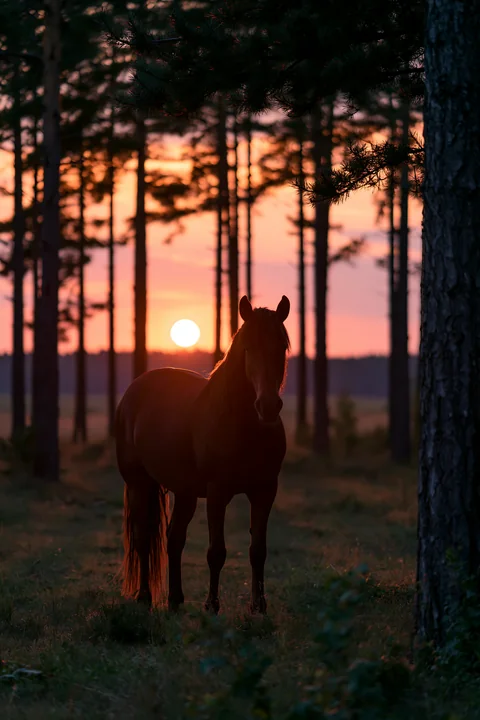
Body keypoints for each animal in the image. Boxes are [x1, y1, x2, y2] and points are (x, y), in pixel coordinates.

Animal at [115, 294, 290, 614]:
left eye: (281, 347)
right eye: (248, 347)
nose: (268, 406)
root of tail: (134, 389)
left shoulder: (265, 491)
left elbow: (258, 550)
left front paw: (258, 607)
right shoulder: (217, 492)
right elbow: (216, 552)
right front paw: (212, 605)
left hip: (184, 492)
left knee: (174, 539)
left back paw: (175, 599)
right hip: (138, 483)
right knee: (144, 537)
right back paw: (145, 596)